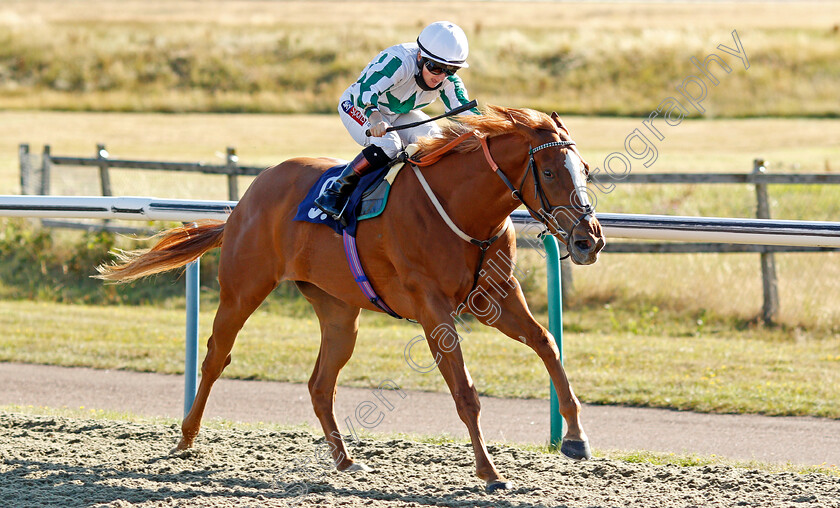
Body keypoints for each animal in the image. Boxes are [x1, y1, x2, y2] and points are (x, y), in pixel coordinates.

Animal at [97, 105, 604, 494]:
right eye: (550, 171)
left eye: (585, 171)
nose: (589, 240)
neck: (460, 210)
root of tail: (245, 200)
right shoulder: (433, 309)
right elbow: (465, 391)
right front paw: (490, 472)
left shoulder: (497, 297)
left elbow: (547, 344)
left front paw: (576, 437)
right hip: (242, 289)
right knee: (216, 357)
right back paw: (185, 438)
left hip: (339, 311)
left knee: (320, 384)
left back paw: (344, 459)